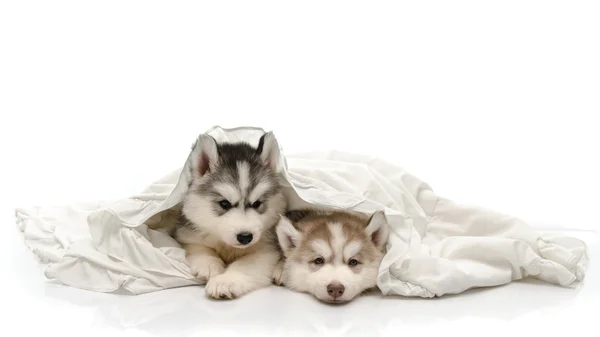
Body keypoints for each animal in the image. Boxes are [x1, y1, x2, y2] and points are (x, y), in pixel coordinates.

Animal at [175, 133, 288, 298]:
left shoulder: (266, 249)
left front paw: (226, 281)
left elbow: (245, 265)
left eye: (256, 203)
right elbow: (200, 248)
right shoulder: (188, 235)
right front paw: (209, 265)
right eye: (224, 204)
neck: (227, 246)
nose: (245, 237)